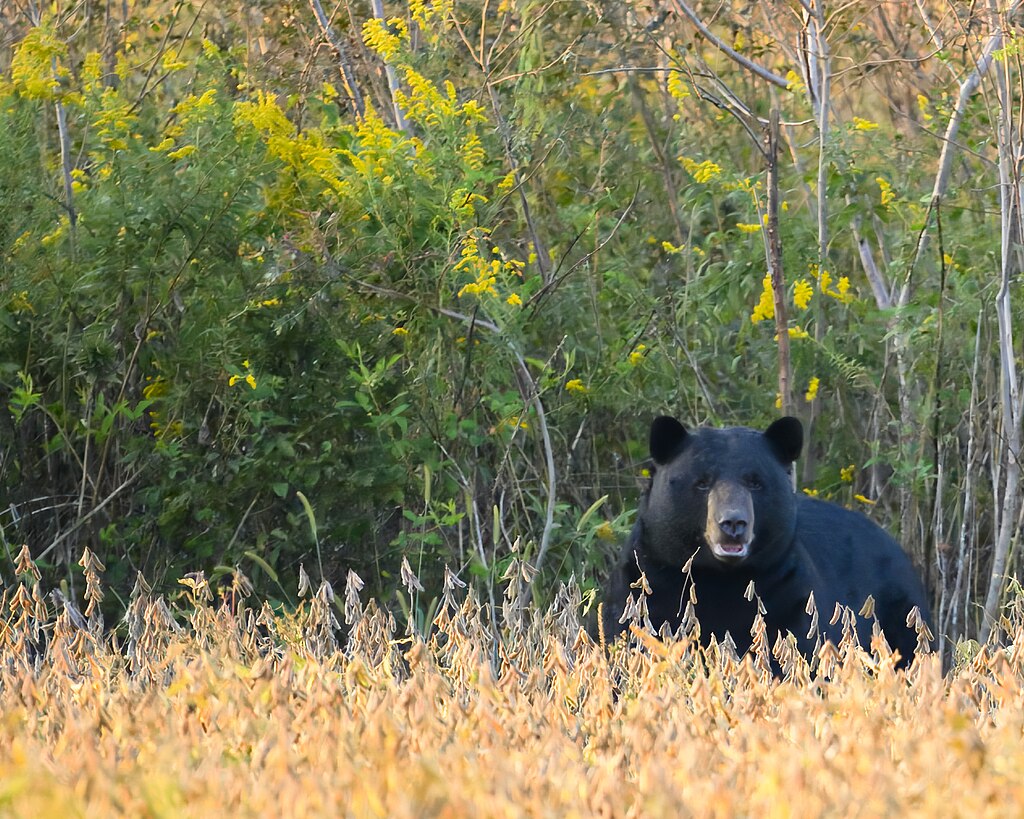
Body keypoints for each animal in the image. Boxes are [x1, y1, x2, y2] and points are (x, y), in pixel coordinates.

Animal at [601, 415, 933, 669]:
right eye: (702, 481)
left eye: (755, 481)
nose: (733, 523)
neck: (719, 578)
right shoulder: (649, 585)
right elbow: (632, 638)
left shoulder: (786, 595)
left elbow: (797, 651)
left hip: (899, 614)